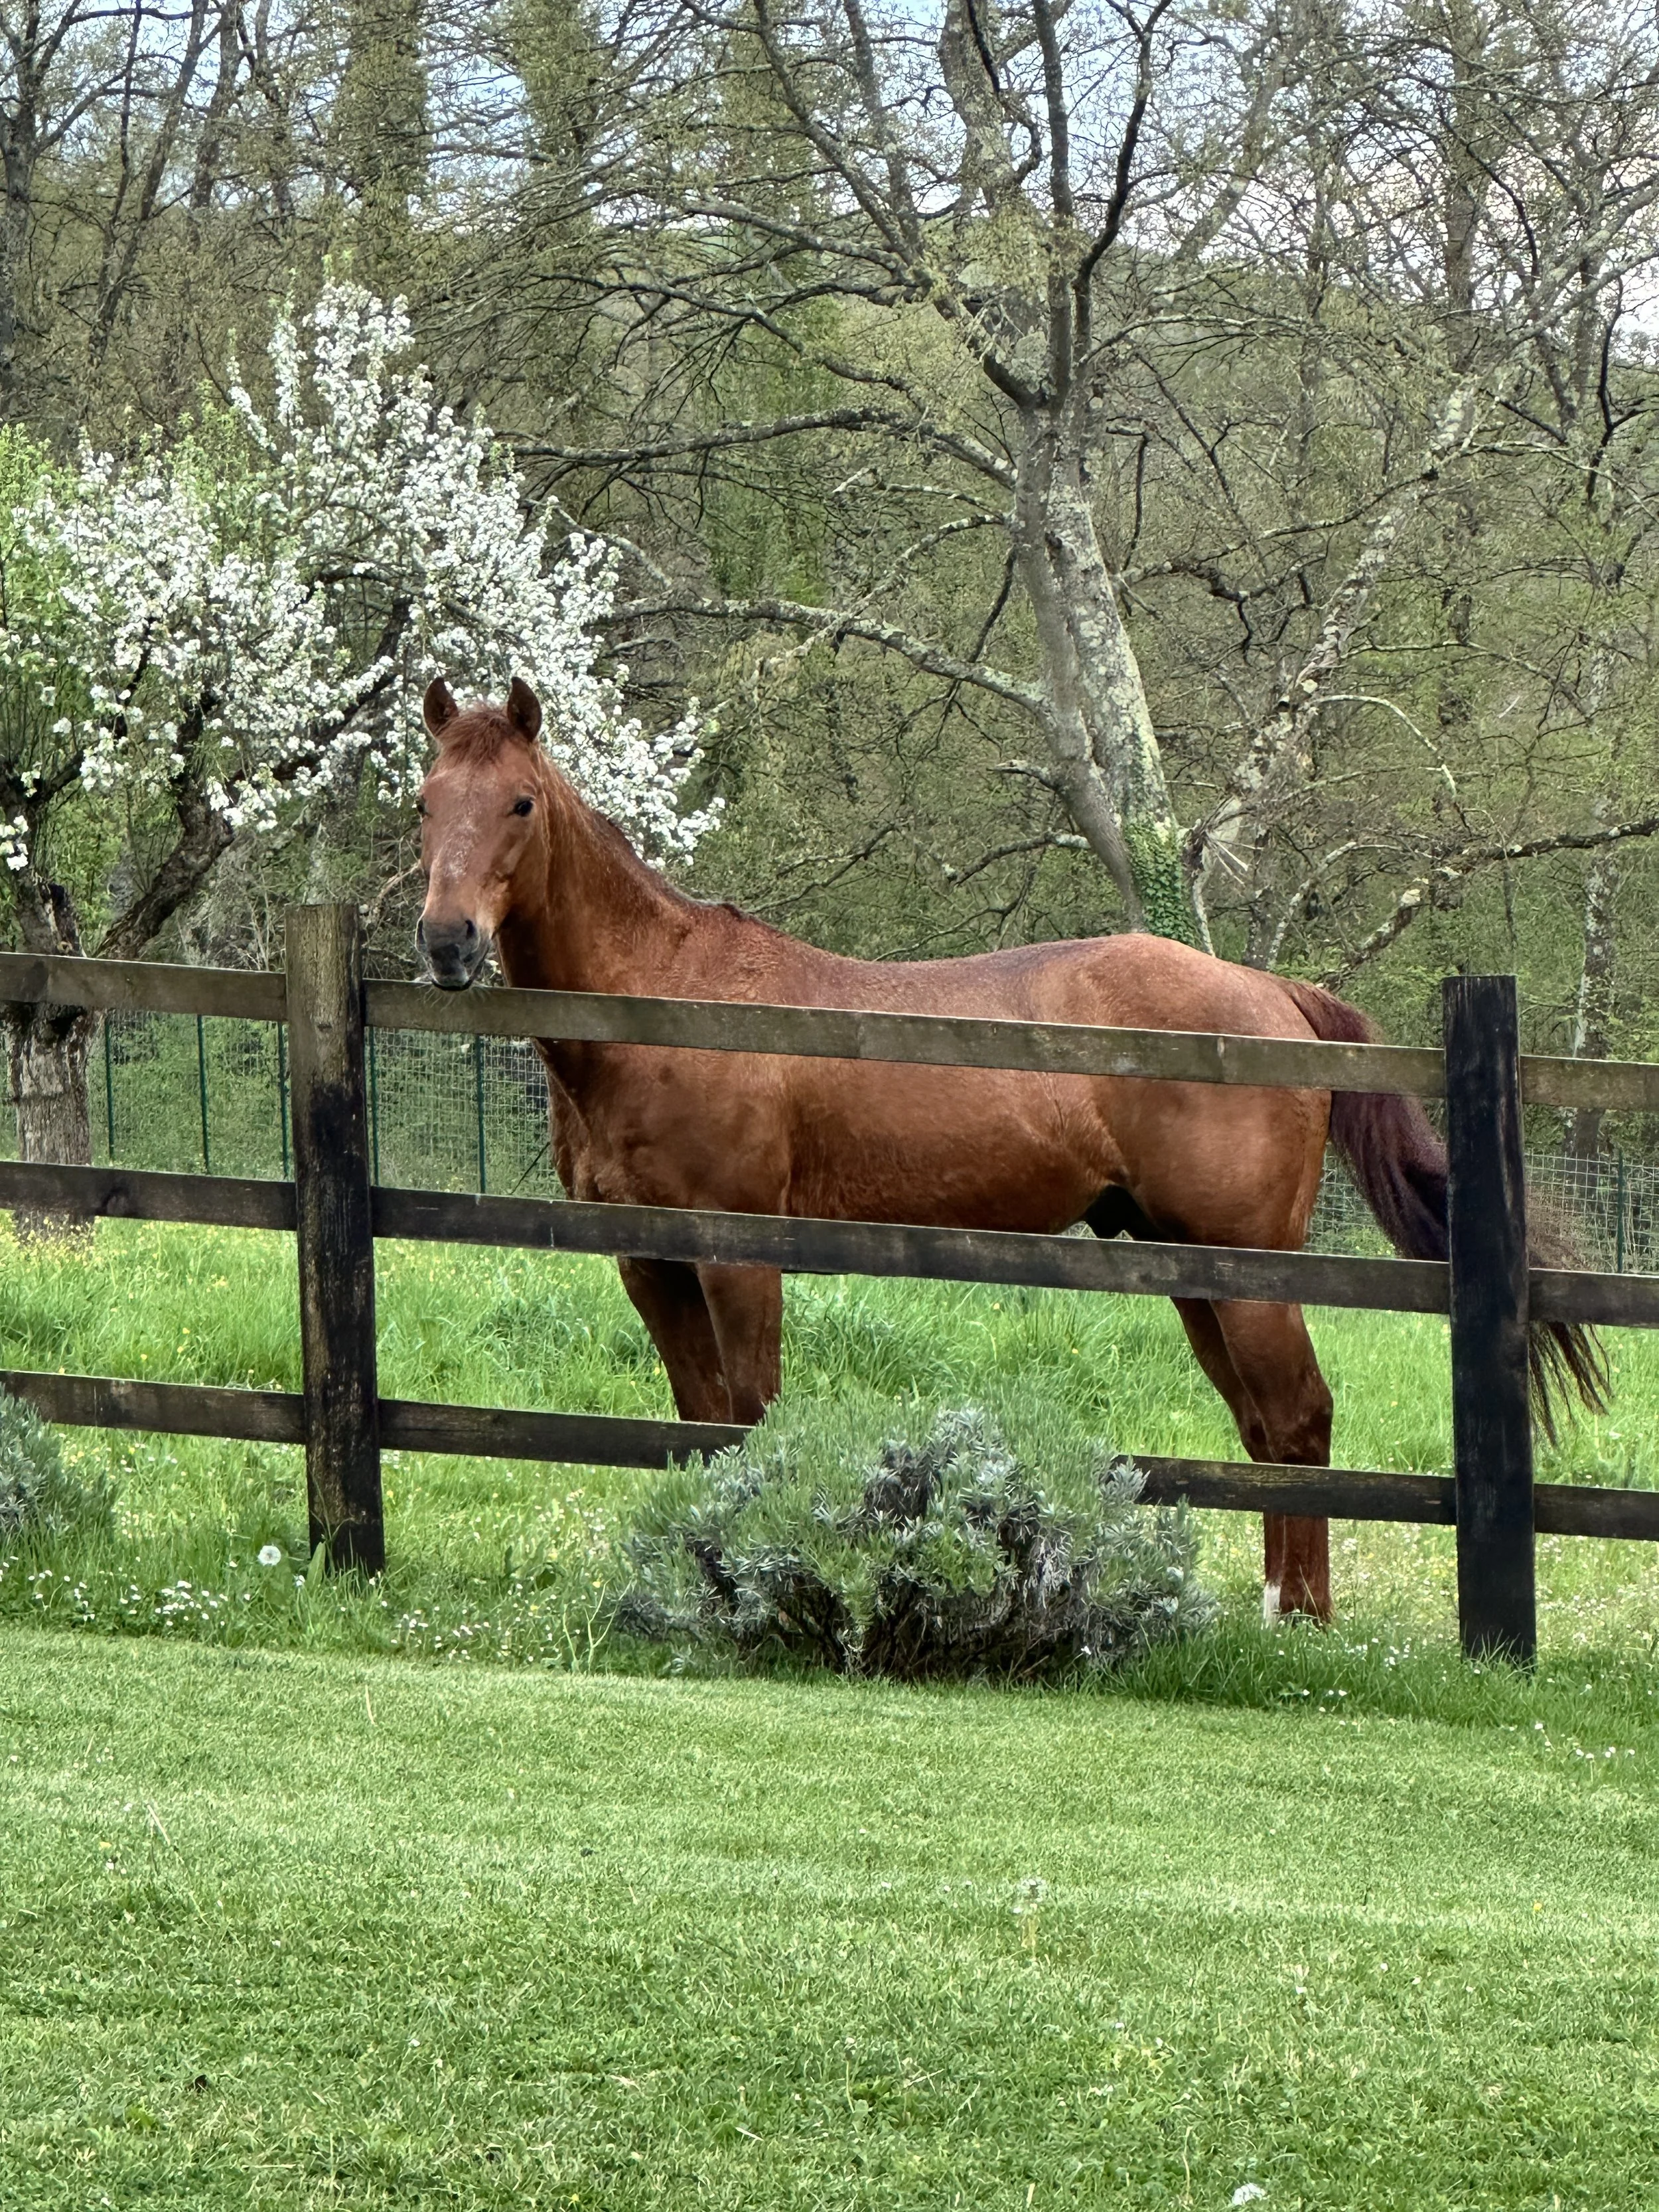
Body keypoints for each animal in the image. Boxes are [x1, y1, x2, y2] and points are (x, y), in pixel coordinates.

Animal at [412, 676, 1605, 1621]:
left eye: (520, 802)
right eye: (425, 800)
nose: (445, 941)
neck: (665, 1005)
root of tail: (1275, 995)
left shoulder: (737, 1253)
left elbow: (751, 1414)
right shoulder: (646, 1259)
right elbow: (701, 1424)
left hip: (1247, 1267)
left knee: (1301, 1418)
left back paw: (1298, 1617)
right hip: (1190, 1269)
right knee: (1267, 1425)